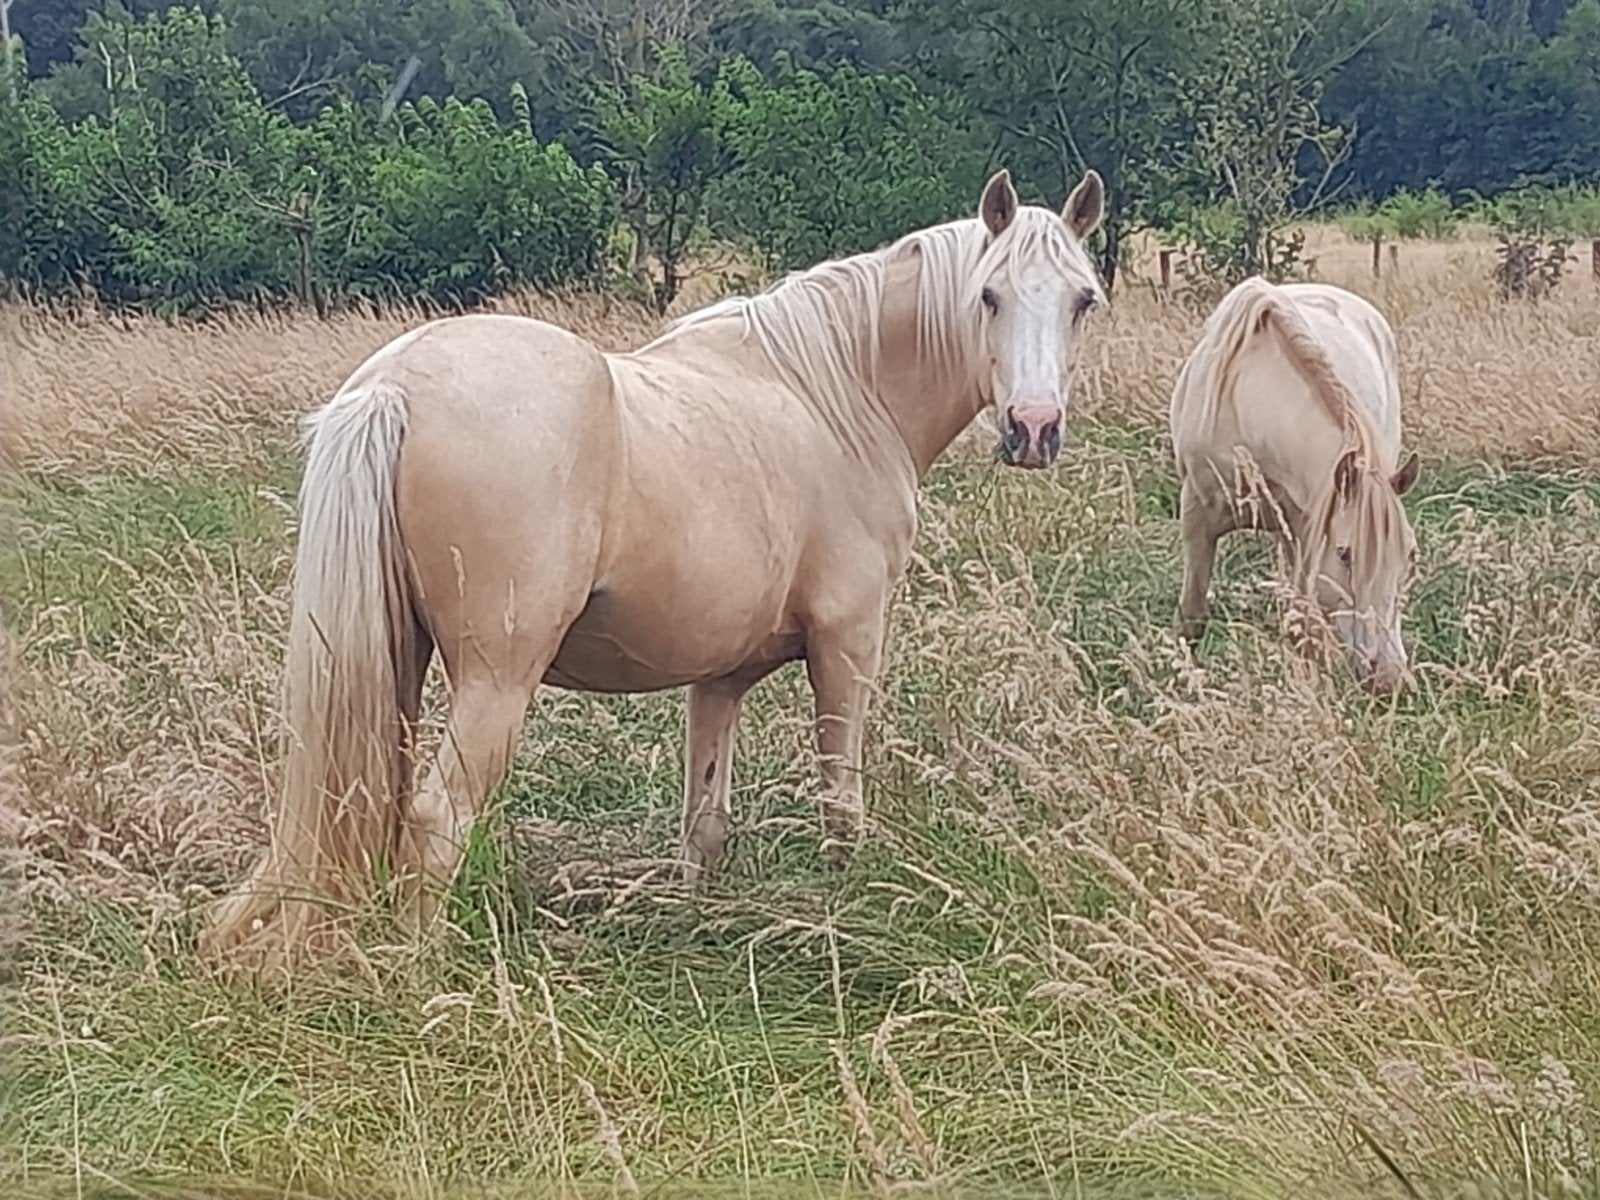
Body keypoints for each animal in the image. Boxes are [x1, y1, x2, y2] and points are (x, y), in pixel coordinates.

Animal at [200, 167, 1108, 971]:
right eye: (988, 296)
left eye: (1082, 299)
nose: (1034, 429)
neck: (838, 395)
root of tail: (395, 385)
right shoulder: (849, 647)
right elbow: (840, 807)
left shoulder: (720, 679)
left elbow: (704, 824)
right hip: (496, 685)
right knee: (436, 818)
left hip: (393, 668)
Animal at [1169, 276, 1421, 693]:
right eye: (1345, 554)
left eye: (1409, 554)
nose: (1388, 677)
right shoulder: (1197, 517)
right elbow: (1192, 617)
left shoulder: (1306, 532)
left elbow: (1304, 632)